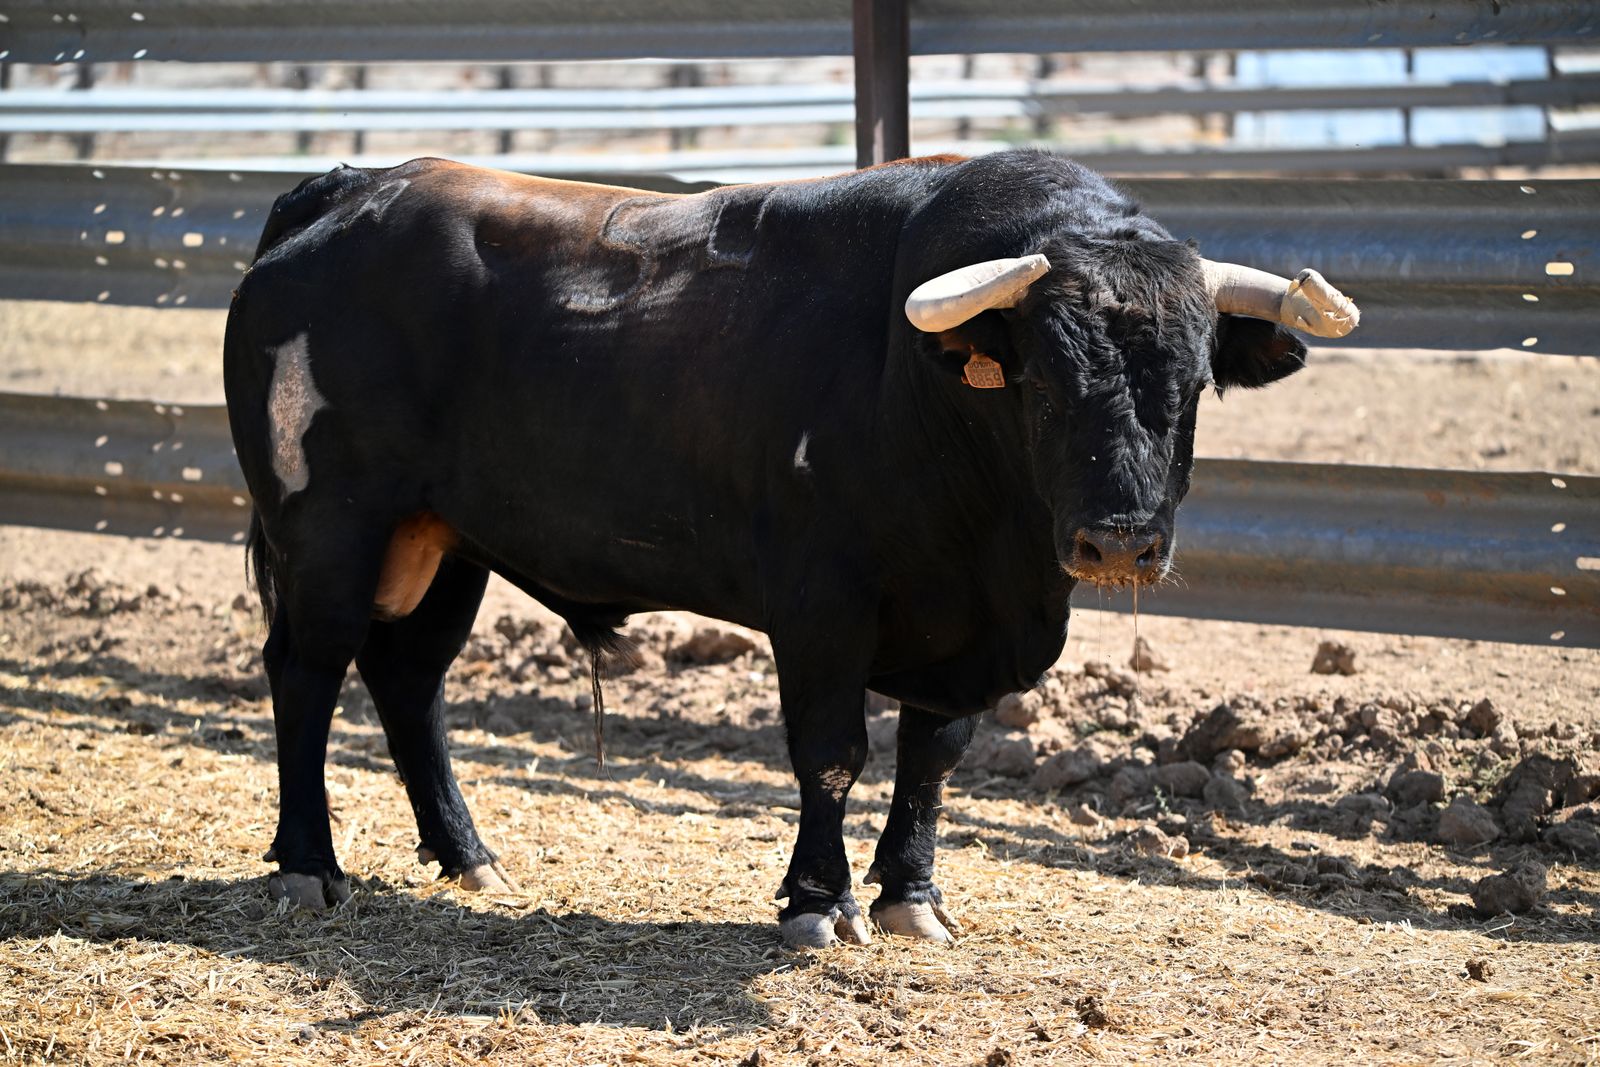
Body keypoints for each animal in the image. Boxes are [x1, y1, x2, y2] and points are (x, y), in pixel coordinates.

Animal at [223, 148, 1356, 948]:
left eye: (1195, 384)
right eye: (1040, 378)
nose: (1120, 539)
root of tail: (350, 189)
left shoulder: (961, 634)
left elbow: (932, 759)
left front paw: (911, 897)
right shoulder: (821, 606)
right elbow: (832, 752)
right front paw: (819, 900)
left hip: (442, 543)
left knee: (407, 681)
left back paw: (469, 858)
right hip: (329, 528)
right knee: (307, 673)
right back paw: (307, 864)